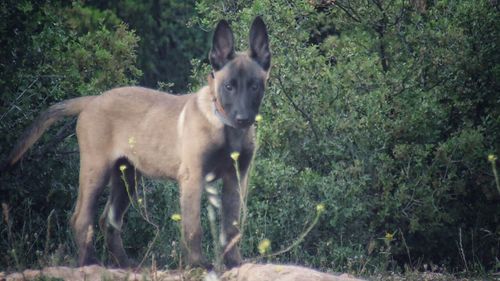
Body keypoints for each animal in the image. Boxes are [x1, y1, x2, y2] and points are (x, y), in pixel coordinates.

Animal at [3, 16, 272, 268]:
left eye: (255, 86)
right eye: (228, 87)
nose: (242, 119)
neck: (224, 127)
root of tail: (92, 100)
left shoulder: (235, 179)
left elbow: (232, 228)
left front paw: (234, 263)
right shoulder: (192, 177)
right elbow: (193, 228)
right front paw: (198, 264)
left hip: (127, 176)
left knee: (109, 221)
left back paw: (125, 264)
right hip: (95, 170)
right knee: (81, 218)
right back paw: (89, 262)